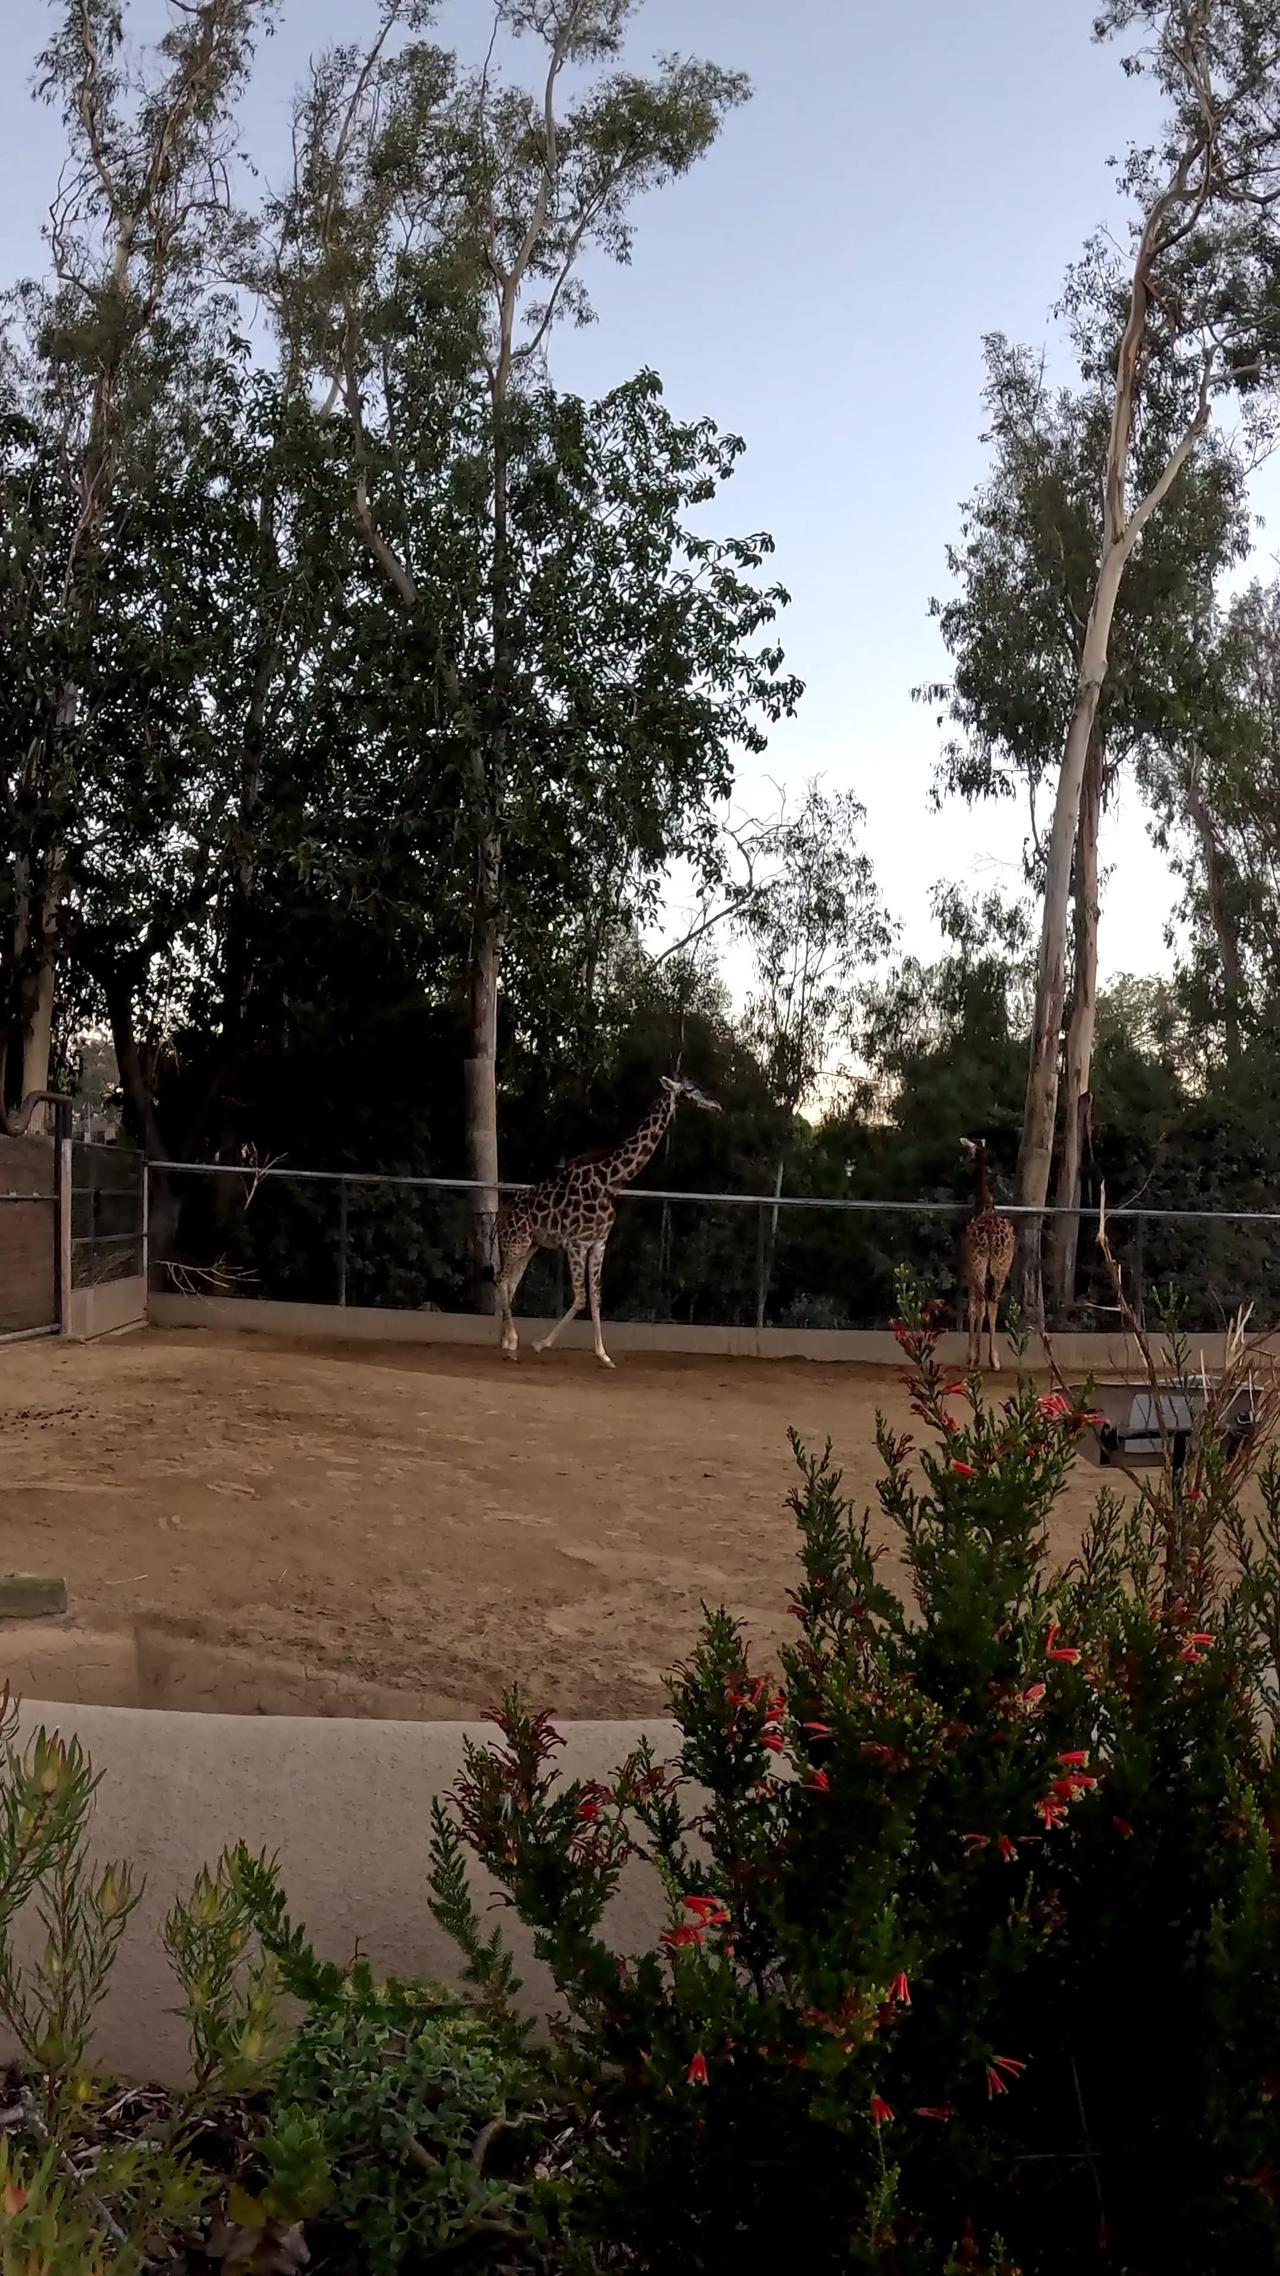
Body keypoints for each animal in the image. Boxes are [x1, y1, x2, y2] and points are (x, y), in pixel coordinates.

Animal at [494, 1069, 719, 1365]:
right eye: (690, 1089)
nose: (716, 1104)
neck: (611, 1182)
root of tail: (500, 1216)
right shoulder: (575, 1243)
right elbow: (580, 1297)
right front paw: (541, 1344)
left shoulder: (599, 1242)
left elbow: (596, 1296)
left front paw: (603, 1355)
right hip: (515, 1242)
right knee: (501, 1279)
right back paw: (512, 1344)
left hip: (529, 1245)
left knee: (509, 1283)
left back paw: (509, 1344)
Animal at [956, 1133, 1015, 1365]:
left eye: (968, 1150)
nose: (961, 1161)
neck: (984, 1204)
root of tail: (990, 1238)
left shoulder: (968, 1269)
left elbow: (972, 1307)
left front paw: (972, 1354)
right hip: (1001, 1266)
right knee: (993, 1301)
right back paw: (995, 1359)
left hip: (979, 1263)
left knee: (981, 1301)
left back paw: (976, 1357)